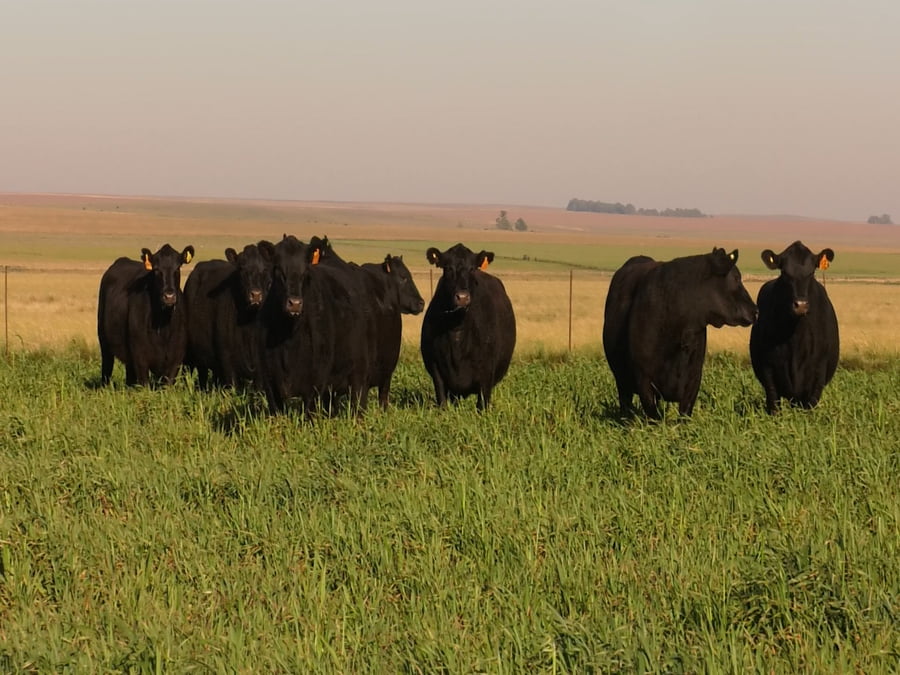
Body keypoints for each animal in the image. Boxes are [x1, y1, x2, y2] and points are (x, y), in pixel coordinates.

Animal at [97, 244, 195, 386]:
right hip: (104, 341)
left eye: (177, 268)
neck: (163, 325)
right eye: (156, 269)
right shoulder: (140, 357)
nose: (169, 296)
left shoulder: (175, 359)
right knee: (106, 367)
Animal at [254, 235, 370, 416]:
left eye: (306, 271)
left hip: (359, 368)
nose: (295, 304)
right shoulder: (270, 382)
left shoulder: (316, 381)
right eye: (278, 269)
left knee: (358, 401)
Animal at [420, 243, 516, 410]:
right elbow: (442, 401)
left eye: (472, 268)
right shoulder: (436, 368)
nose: (462, 297)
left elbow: (482, 404)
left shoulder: (487, 371)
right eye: (448, 267)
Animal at [603, 247, 757, 418]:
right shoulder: (643, 379)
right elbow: (654, 416)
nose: (755, 310)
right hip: (621, 382)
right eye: (736, 278)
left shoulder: (694, 379)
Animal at [749, 241, 839, 414]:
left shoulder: (819, 370)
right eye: (784, 272)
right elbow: (773, 403)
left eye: (812, 272)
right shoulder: (767, 368)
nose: (801, 305)